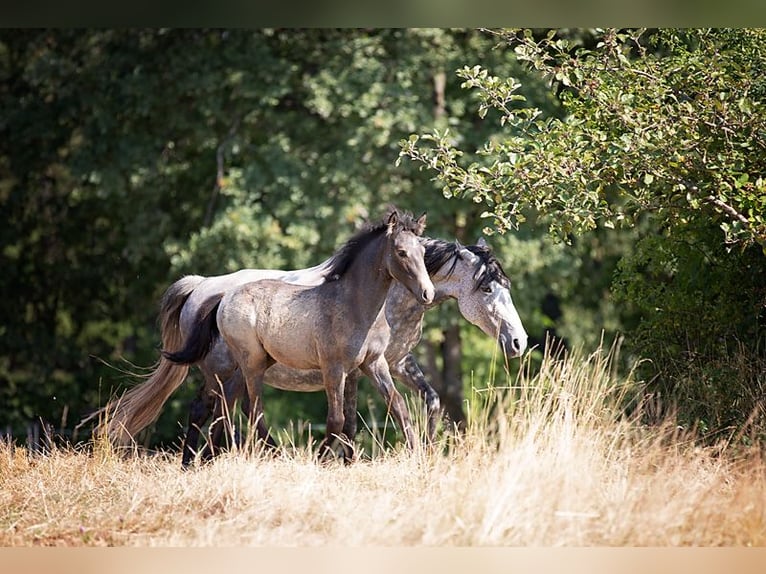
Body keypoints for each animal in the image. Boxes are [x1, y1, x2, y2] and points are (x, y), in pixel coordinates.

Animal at [162, 210, 435, 460]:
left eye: (423, 253)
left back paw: (211, 455)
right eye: (401, 252)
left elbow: (397, 406)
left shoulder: (374, 363)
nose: (427, 293)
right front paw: (319, 460)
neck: (356, 307)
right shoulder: (334, 368)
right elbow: (337, 419)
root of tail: (224, 296)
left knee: (227, 401)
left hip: (254, 362)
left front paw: (418, 457)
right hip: (251, 362)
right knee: (251, 408)